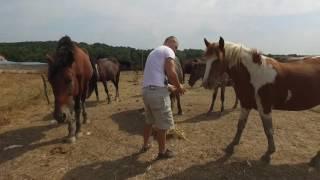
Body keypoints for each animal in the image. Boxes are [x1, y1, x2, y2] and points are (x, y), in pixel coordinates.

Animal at [202, 36, 320, 167]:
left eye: (218, 59)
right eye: (205, 59)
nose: (206, 83)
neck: (255, 74)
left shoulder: (265, 108)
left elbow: (268, 130)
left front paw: (268, 154)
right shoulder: (246, 104)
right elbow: (240, 125)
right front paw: (231, 146)